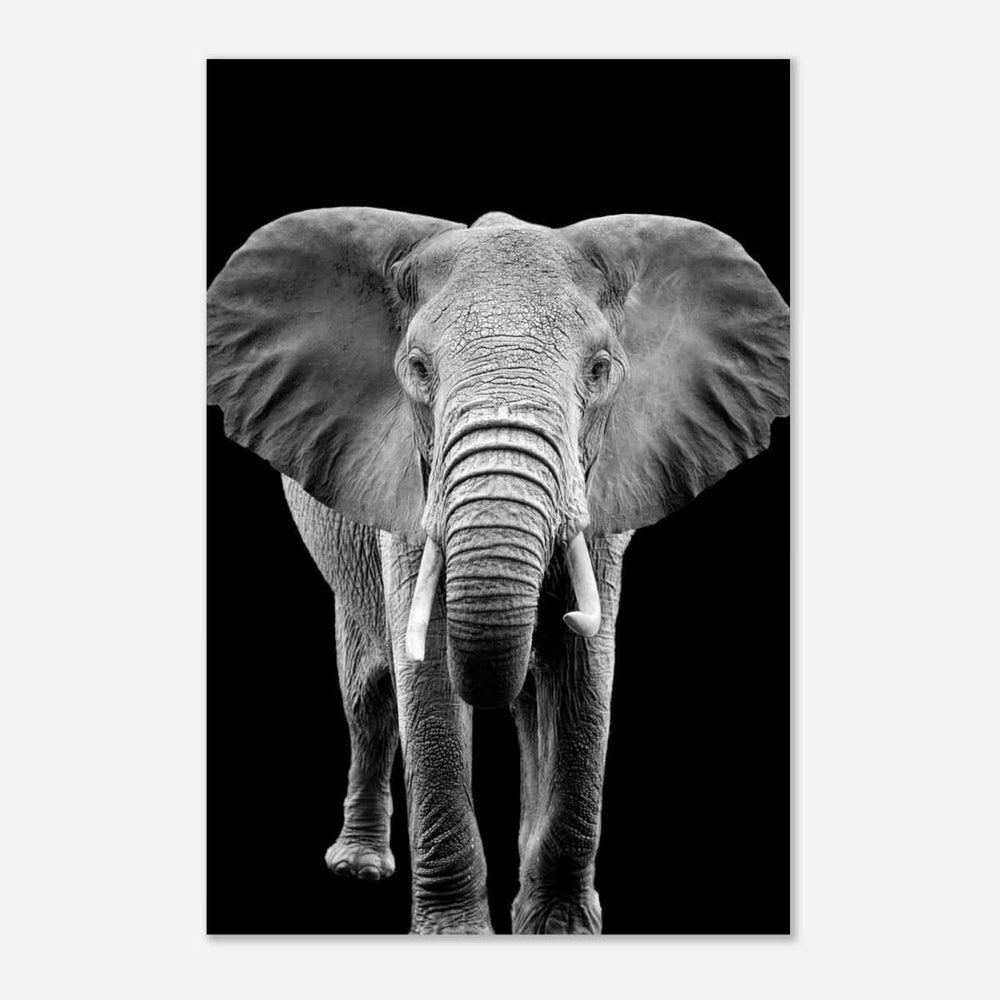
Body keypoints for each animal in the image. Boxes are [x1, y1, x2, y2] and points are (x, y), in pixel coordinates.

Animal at [207, 207, 789, 934]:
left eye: (600, 370)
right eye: (417, 369)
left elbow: (583, 671)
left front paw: (559, 928)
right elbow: (424, 675)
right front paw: (456, 933)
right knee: (369, 691)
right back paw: (359, 867)